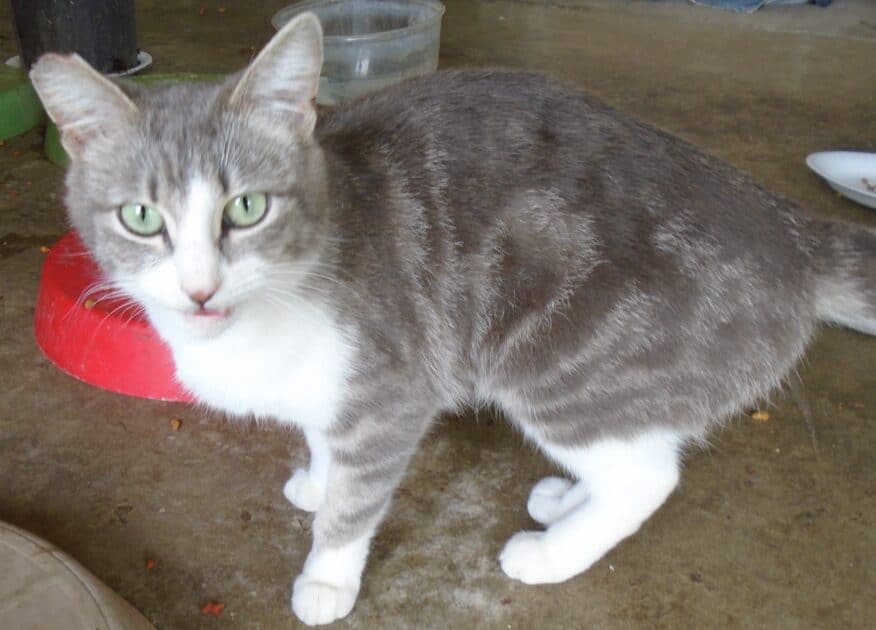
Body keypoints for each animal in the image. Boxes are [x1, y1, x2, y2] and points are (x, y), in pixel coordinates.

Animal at [29, 12, 876, 628]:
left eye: (247, 208)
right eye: (141, 218)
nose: (200, 289)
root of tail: (789, 229)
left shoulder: (391, 386)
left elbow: (358, 496)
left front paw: (327, 574)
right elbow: (324, 440)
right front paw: (317, 478)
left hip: (559, 360)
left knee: (648, 475)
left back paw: (551, 552)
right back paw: (564, 502)